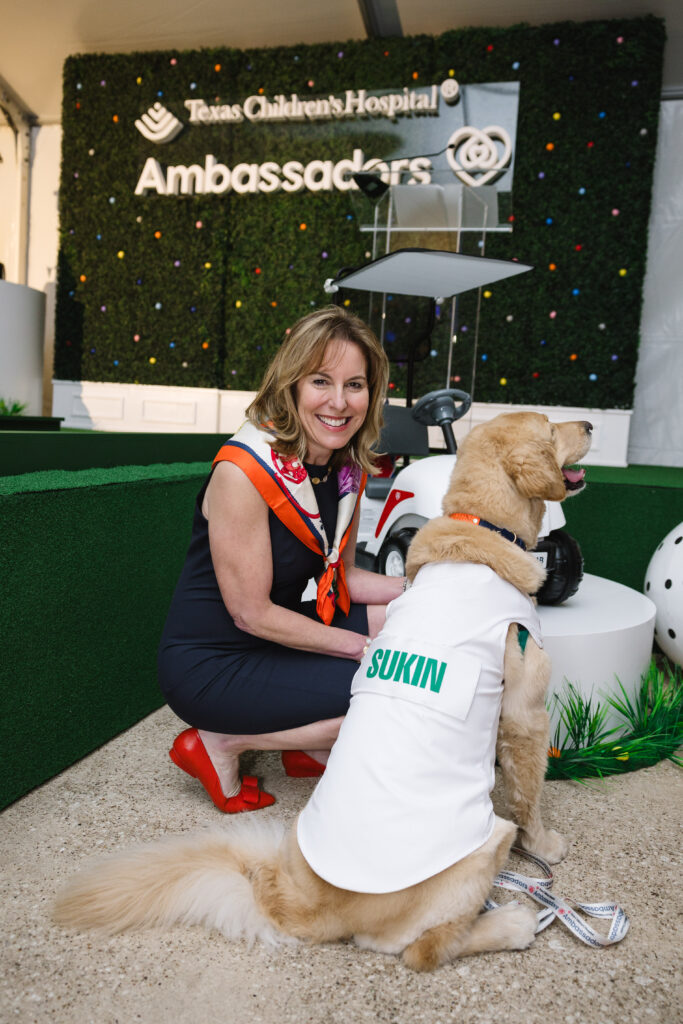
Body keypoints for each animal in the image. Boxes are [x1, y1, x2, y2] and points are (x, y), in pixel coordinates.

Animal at [53, 411, 593, 970]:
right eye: (550, 427)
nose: (591, 425)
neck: (481, 527)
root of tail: (305, 901)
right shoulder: (526, 713)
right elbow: (529, 793)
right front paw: (545, 845)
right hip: (484, 844)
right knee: (423, 947)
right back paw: (513, 922)